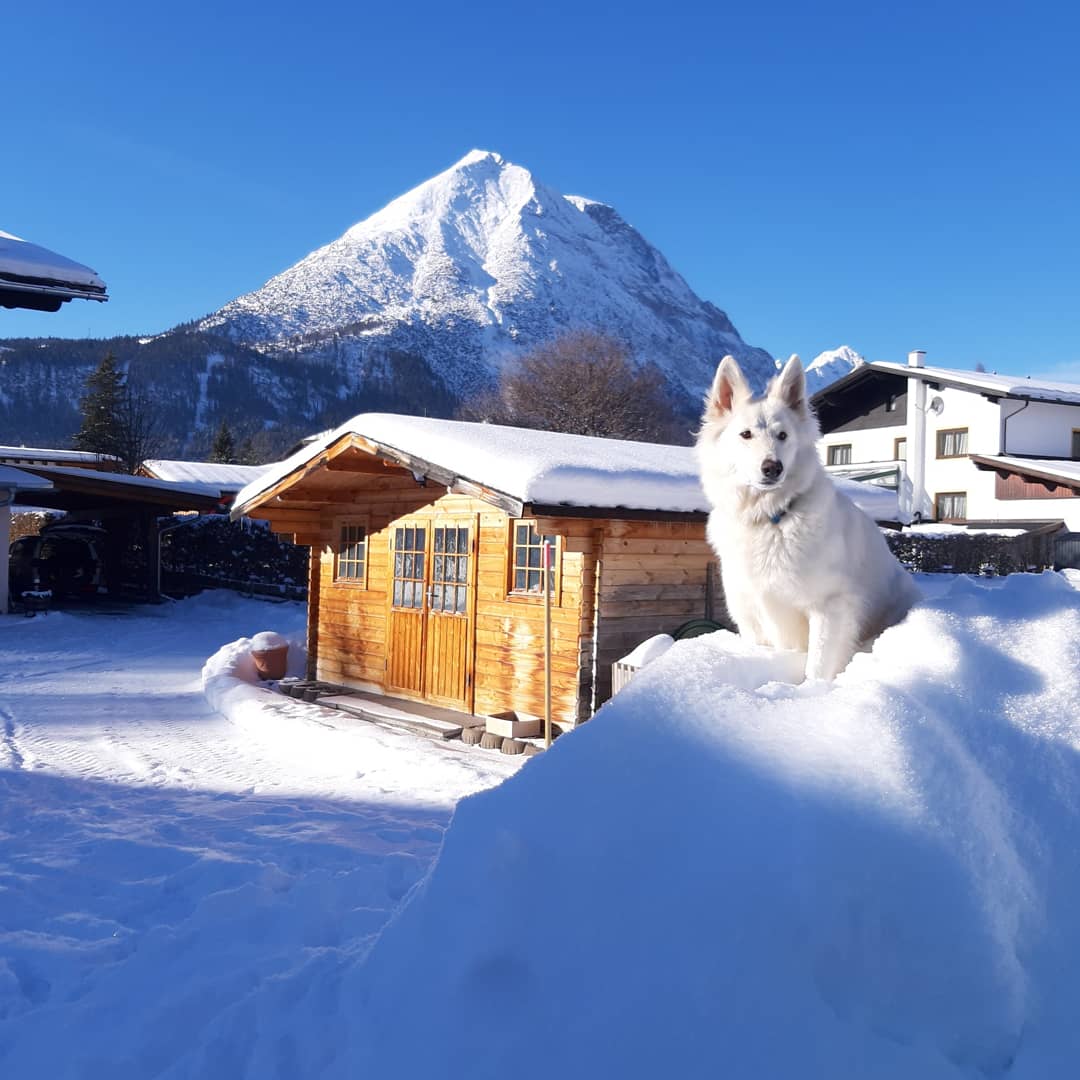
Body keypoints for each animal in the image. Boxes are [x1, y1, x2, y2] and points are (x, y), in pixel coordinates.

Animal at [695, 349, 915, 678]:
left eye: (783, 435)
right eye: (746, 434)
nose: (772, 468)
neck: (771, 517)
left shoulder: (830, 608)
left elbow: (818, 666)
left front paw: (812, 688)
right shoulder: (751, 616)